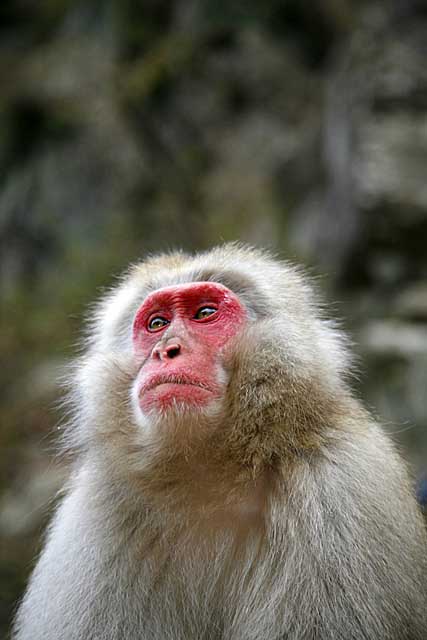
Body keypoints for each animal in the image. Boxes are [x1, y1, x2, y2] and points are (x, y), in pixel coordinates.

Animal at [13, 242, 427, 636]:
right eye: (157, 323)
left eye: (205, 313)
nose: (166, 351)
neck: (210, 471)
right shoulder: (102, 514)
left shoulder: (338, 494)